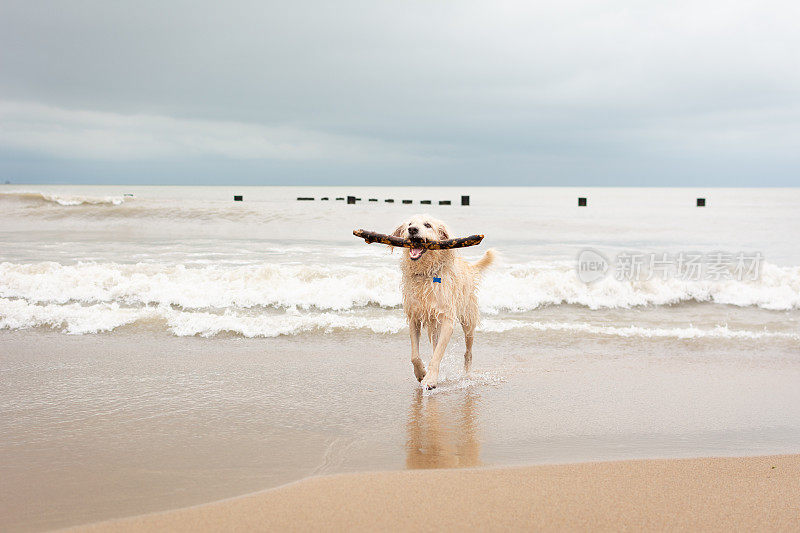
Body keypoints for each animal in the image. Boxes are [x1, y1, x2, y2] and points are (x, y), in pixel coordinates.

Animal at [392, 214, 496, 388]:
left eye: (427, 225)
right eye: (409, 224)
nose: (412, 230)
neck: (426, 273)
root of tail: (469, 268)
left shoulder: (447, 320)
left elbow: (437, 355)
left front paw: (431, 379)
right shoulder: (414, 317)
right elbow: (415, 355)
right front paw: (421, 373)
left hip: (468, 321)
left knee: (468, 351)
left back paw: (467, 374)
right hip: (433, 325)